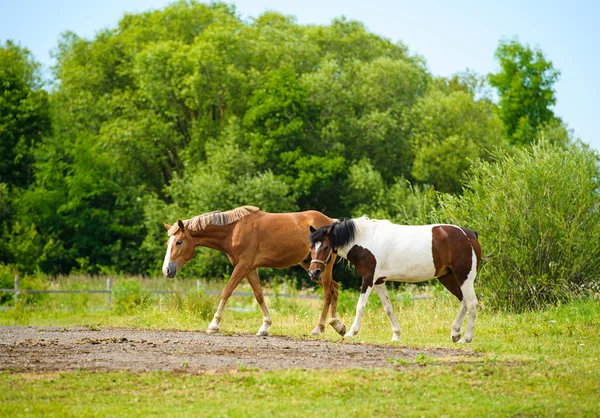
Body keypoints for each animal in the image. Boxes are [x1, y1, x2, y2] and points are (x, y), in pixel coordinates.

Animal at [162, 205, 346, 336]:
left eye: (178, 242)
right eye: (169, 242)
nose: (167, 270)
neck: (233, 230)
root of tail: (331, 221)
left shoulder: (242, 266)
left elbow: (226, 291)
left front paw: (214, 324)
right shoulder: (250, 269)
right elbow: (259, 295)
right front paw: (265, 326)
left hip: (323, 266)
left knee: (327, 293)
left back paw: (319, 328)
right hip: (311, 266)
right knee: (334, 288)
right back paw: (338, 325)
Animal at [310, 217, 482, 342]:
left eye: (325, 247)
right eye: (311, 247)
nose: (313, 273)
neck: (366, 240)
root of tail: (469, 234)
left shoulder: (368, 279)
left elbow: (360, 305)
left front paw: (351, 332)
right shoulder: (378, 281)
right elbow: (388, 307)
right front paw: (396, 334)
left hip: (464, 277)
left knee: (472, 304)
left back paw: (466, 338)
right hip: (448, 277)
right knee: (464, 301)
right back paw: (455, 333)